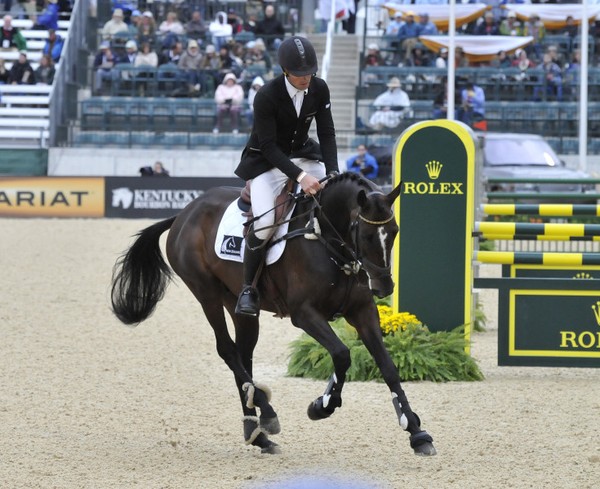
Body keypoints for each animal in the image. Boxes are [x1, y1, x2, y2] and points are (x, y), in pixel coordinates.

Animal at [110, 172, 434, 454]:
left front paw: (416, 432)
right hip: (206, 293)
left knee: (244, 355)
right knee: (227, 350)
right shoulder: (304, 314)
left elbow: (388, 366)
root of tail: (185, 212)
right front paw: (322, 406)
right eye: (365, 235)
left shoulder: (363, 312)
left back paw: (257, 434)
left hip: (238, 305)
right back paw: (267, 413)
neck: (327, 241)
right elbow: (342, 354)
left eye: (394, 232)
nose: (384, 286)